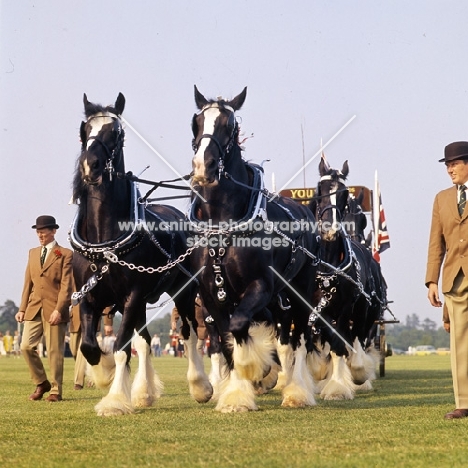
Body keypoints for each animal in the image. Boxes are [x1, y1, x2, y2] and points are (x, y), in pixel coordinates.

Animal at [70, 93, 211, 414]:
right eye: (85, 129)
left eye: (117, 132)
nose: (90, 166)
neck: (105, 240)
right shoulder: (90, 295)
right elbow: (90, 346)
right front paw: (105, 374)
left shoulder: (132, 294)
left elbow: (122, 346)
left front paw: (114, 400)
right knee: (145, 339)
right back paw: (144, 392)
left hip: (183, 291)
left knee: (189, 333)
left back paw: (200, 386)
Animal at [188, 86, 320, 412]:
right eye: (196, 123)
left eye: (229, 126)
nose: (203, 167)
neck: (225, 224)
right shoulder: (211, 295)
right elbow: (227, 338)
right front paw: (238, 392)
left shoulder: (260, 285)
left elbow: (239, 326)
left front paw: (257, 371)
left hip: (301, 288)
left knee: (299, 337)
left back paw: (296, 390)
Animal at [310, 159, 380, 400]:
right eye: (319, 190)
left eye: (342, 194)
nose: (329, 230)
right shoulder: (317, 308)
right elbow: (331, 342)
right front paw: (330, 379)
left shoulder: (346, 307)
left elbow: (343, 344)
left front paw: (342, 383)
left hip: (364, 310)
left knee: (357, 336)